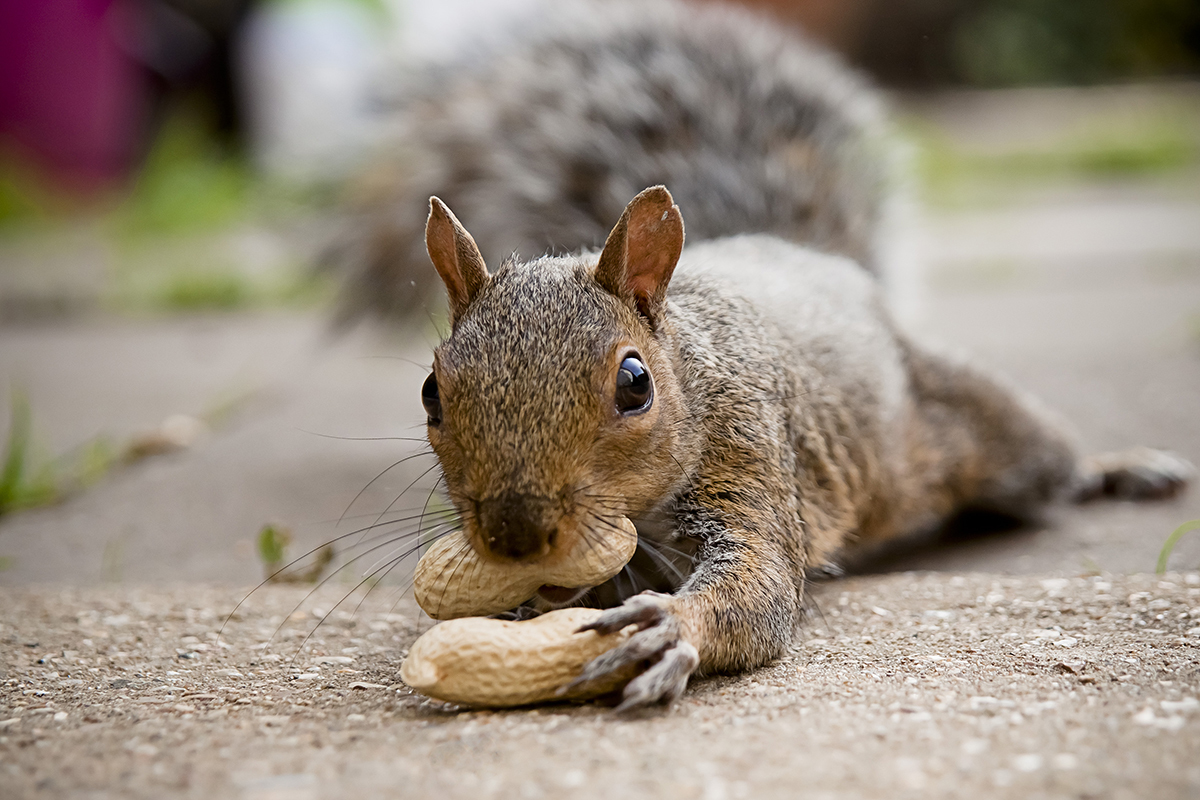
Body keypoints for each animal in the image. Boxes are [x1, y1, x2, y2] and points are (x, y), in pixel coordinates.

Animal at [333, 0, 1195, 710]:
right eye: (430, 393)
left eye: (635, 384)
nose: (515, 536)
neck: (691, 365)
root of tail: (810, 260)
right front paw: (523, 603)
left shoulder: (749, 451)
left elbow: (760, 589)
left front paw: (670, 627)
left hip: (985, 424)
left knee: (1048, 458)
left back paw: (1117, 468)